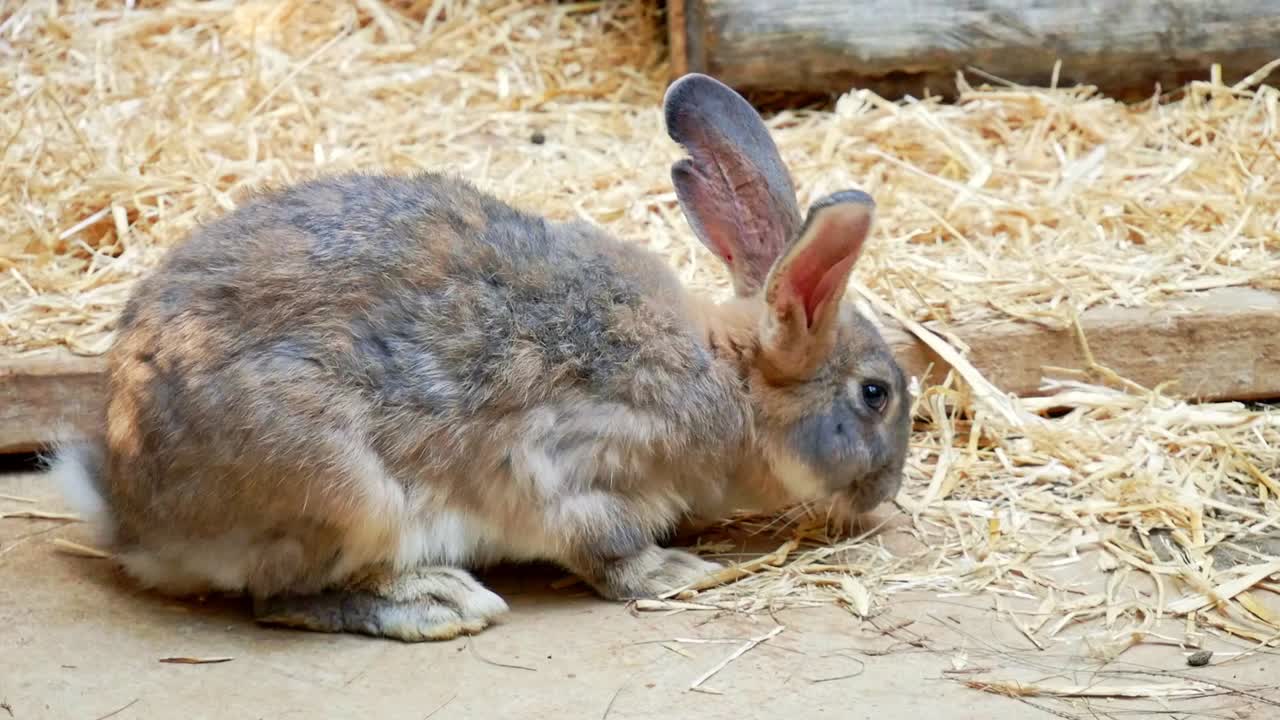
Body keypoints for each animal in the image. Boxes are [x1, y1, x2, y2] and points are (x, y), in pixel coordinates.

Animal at [49, 73, 911, 642]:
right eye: (875, 394)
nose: (886, 492)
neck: (729, 382)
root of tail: (131, 512)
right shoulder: (575, 466)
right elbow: (604, 544)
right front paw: (679, 575)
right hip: (344, 493)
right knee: (281, 598)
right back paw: (439, 604)